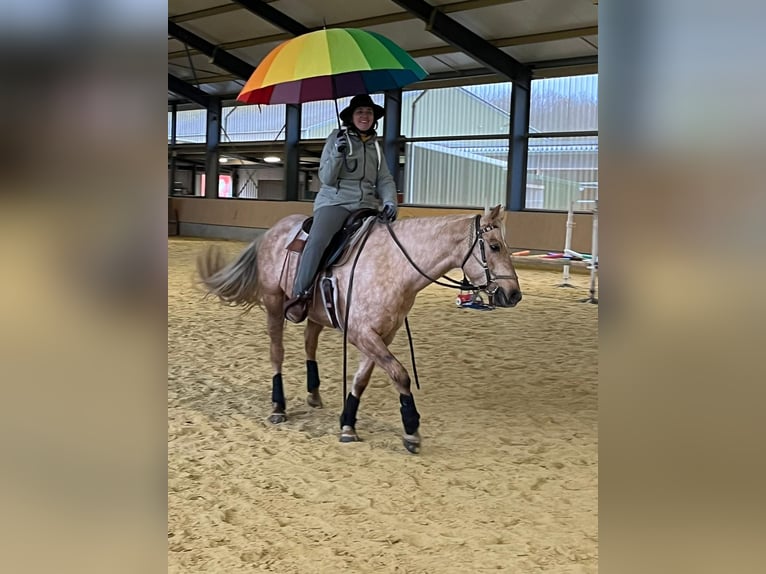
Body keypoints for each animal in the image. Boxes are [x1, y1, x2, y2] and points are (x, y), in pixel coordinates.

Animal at [196, 204, 522, 453]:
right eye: (494, 246)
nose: (514, 294)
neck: (394, 265)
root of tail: (272, 231)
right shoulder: (361, 334)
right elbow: (400, 374)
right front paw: (411, 429)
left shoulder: (381, 335)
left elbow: (362, 379)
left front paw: (348, 423)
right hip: (275, 305)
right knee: (277, 352)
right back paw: (278, 406)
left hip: (316, 315)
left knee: (309, 343)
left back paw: (314, 394)